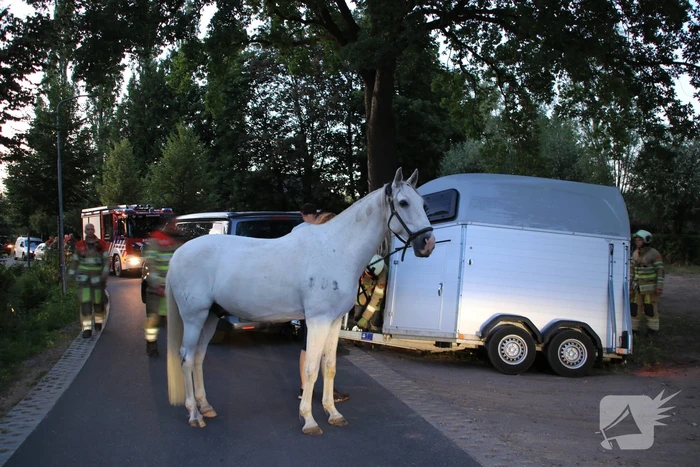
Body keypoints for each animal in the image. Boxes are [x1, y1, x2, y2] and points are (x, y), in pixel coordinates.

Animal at [165, 168, 436, 435]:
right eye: (403, 203)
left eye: (424, 204)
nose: (428, 244)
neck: (337, 250)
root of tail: (178, 254)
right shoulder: (317, 320)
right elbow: (311, 368)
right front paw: (309, 420)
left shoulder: (334, 321)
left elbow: (329, 366)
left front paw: (333, 414)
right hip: (194, 317)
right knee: (187, 358)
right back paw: (194, 414)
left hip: (211, 316)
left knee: (199, 356)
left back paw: (206, 406)